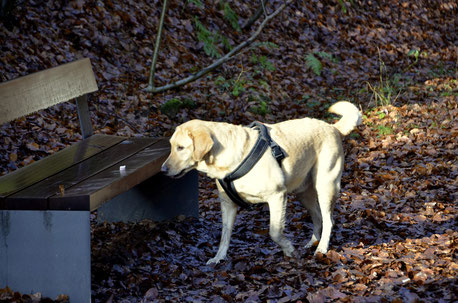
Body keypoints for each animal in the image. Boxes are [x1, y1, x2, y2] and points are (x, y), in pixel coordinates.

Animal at [161, 101, 362, 264]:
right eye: (171, 146)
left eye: (181, 148)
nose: (162, 170)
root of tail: (332, 127)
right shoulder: (228, 204)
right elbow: (224, 235)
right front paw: (219, 258)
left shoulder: (277, 196)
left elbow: (275, 232)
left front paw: (289, 249)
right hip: (303, 193)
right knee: (318, 217)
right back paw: (312, 243)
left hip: (325, 186)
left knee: (329, 220)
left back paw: (321, 248)